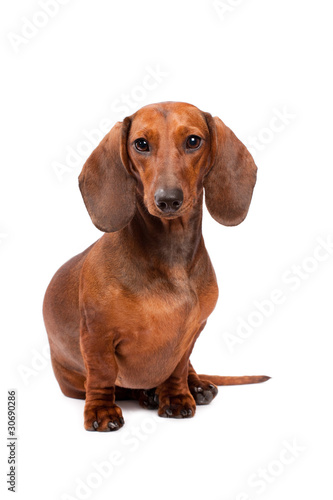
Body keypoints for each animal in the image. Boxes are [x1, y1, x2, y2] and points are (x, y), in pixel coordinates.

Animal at [42, 100, 268, 430]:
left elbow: (177, 368)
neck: (171, 253)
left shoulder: (190, 333)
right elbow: (101, 374)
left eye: (193, 141)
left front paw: (176, 397)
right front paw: (101, 410)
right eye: (141, 144)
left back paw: (194, 386)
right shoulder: (97, 336)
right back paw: (145, 394)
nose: (168, 200)